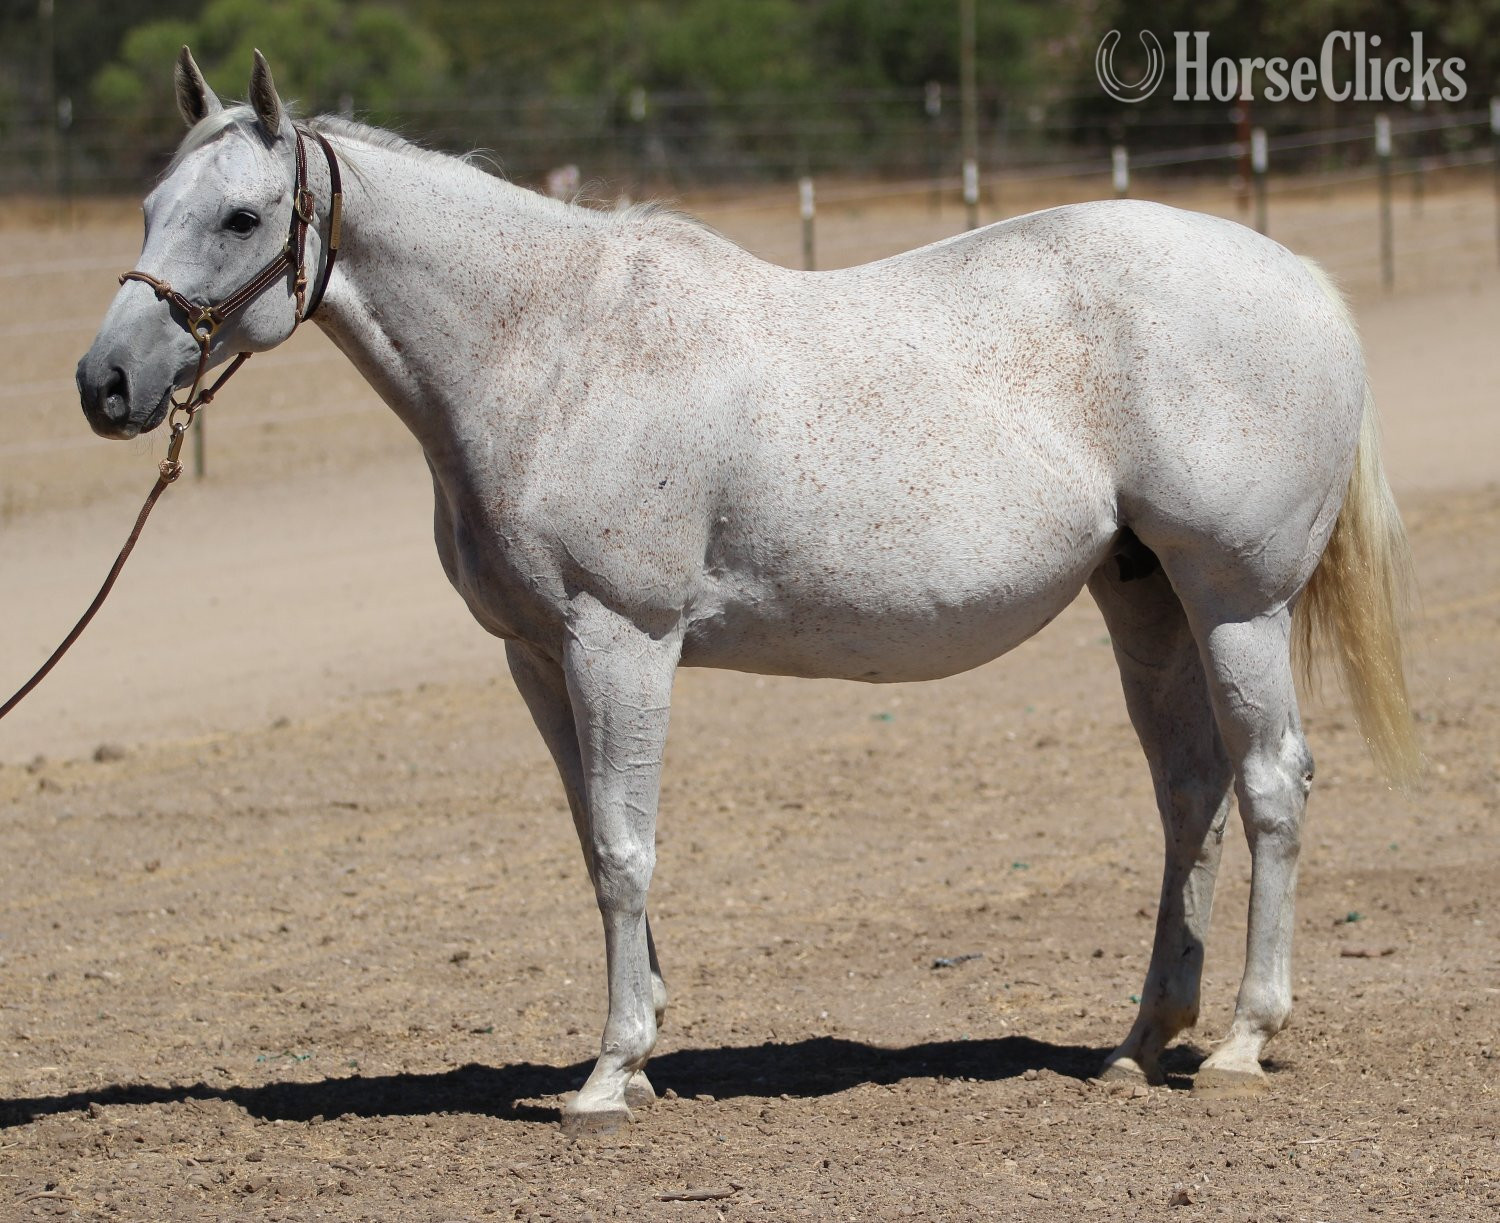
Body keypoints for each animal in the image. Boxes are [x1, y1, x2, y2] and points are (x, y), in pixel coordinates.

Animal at [75, 48, 1417, 1130]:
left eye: (242, 216)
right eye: (149, 207)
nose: (105, 384)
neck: (548, 350)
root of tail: (1300, 277)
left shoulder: (622, 640)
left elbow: (625, 845)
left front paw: (609, 1073)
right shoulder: (535, 652)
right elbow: (591, 839)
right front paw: (645, 1039)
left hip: (1236, 604)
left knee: (1270, 783)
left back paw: (1241, 1038)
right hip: (1144, 598)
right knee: (1189, 791)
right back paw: (1140, 1041)